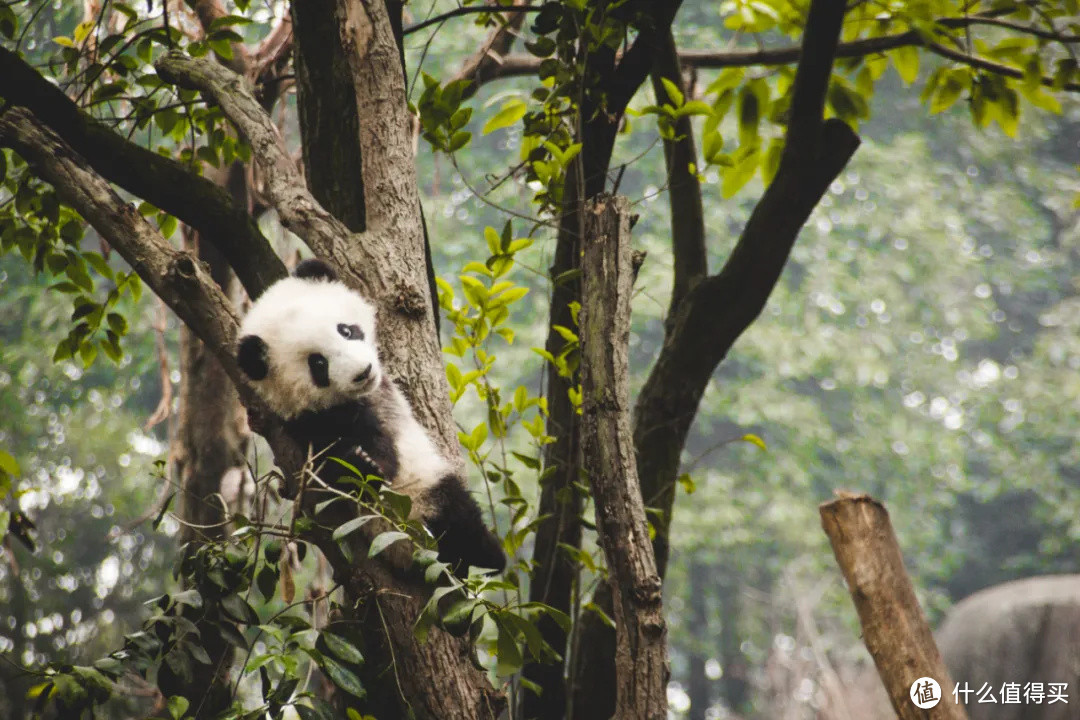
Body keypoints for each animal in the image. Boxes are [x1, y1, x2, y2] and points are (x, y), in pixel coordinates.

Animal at [236, 259, 505, 574]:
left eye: (345, 330)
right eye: (318, 363)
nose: (363, 372)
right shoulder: (307, 423)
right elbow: (340, 461)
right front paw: (363, 463)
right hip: (423, 497)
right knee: (459, 516)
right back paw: (490, 555)